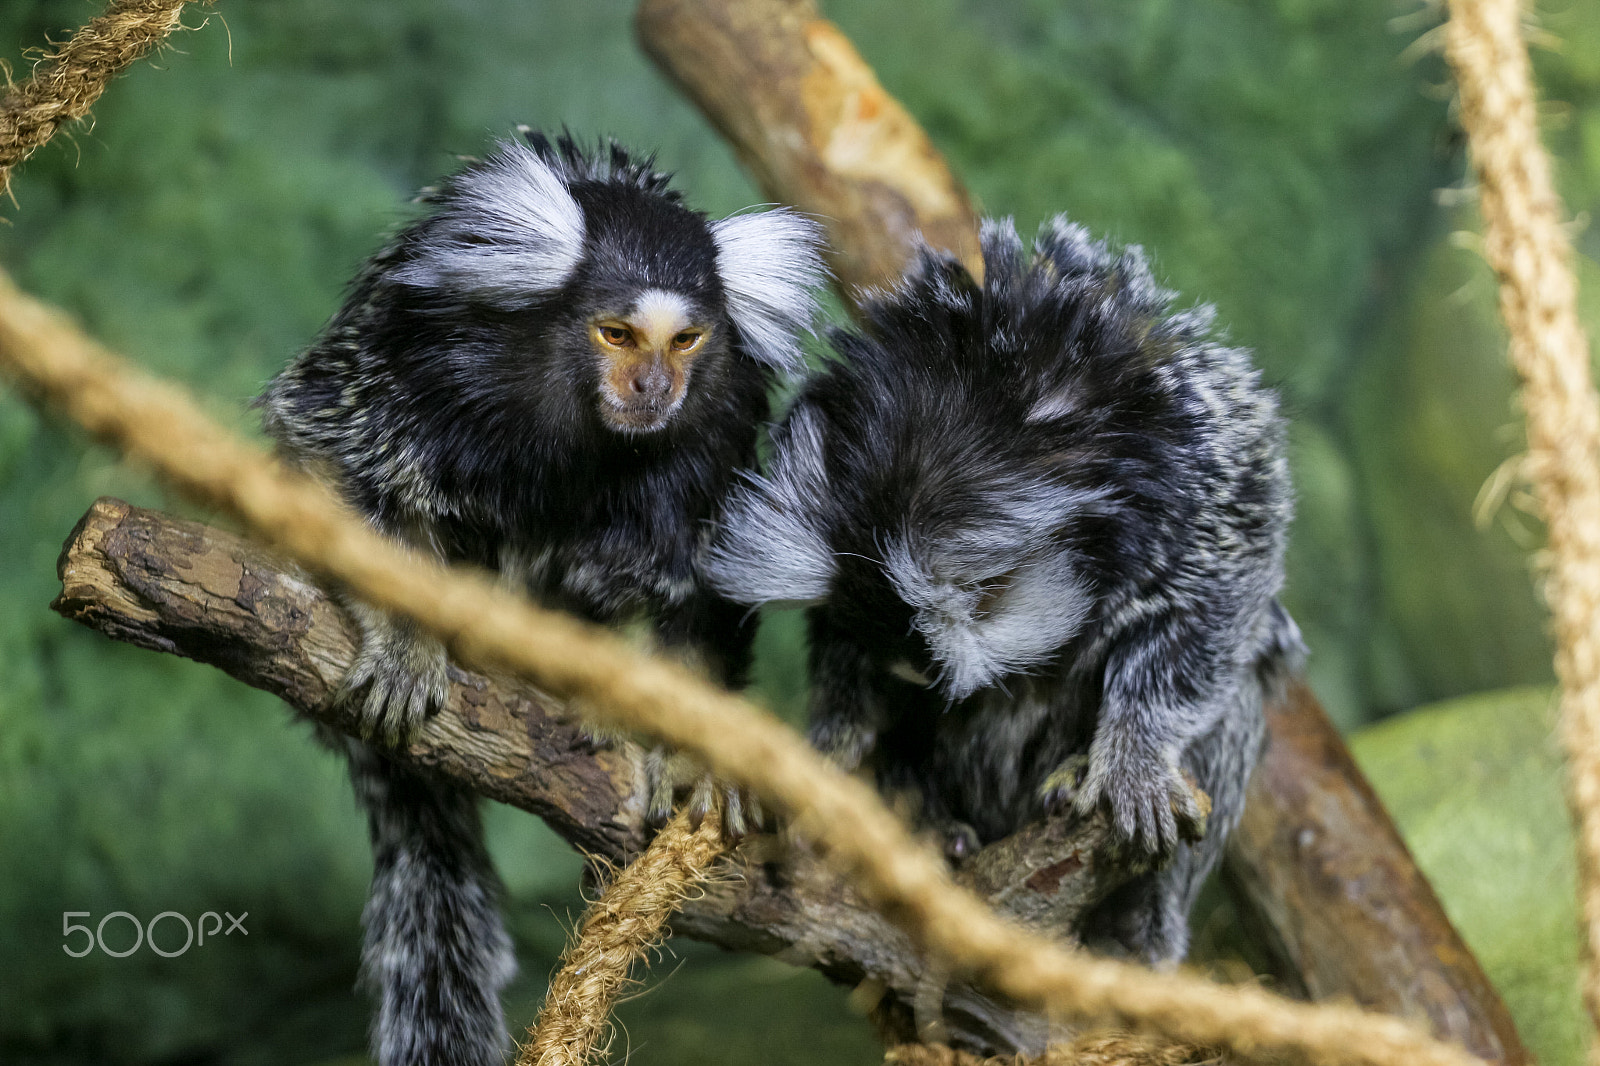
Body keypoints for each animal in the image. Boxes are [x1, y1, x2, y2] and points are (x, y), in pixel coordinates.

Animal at [258, 131, 825, 1066]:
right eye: (616, 333)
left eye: (685, 341)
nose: (652, 388)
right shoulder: (427, 359)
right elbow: (329, 449)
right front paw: (407, 641)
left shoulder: (722, 421)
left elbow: (715, 570)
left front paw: (693, 745)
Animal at [704, 216, 1302, 965]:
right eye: (884, 654)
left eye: (924, 658)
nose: (910, 679)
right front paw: (827, 746)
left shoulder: (1205, 468)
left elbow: (1221, 598)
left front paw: (1133, 750)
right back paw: (934, 829)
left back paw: (1136, 913)